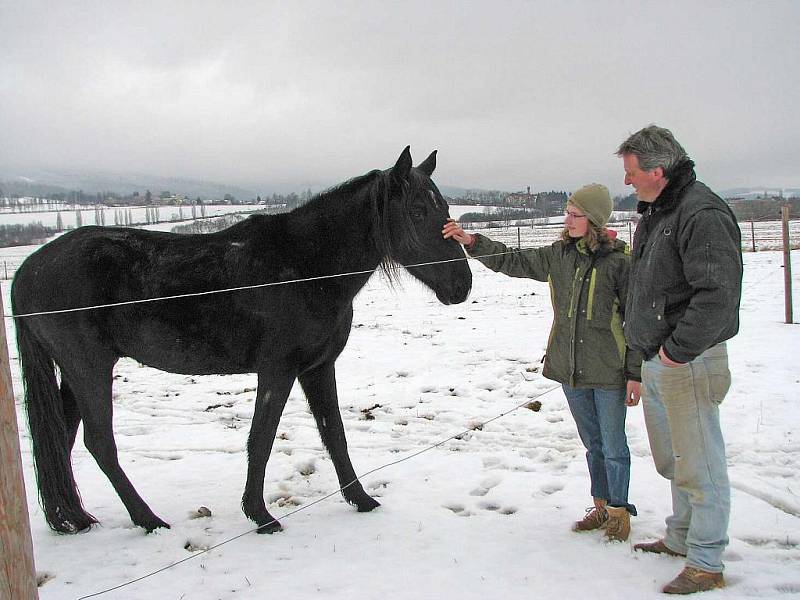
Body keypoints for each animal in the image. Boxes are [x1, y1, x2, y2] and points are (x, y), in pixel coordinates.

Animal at [10, 148, 468, 532]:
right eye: (417, 210)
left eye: (445, 207)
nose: (462, 285)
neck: (307, 268)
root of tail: (30, 268)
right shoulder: (277, 370)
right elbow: (261, 439)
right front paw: (260, 515)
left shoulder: (318, 368)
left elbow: (334, 433)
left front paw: (361, 499)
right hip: (88, 368)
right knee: (99, 443)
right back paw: (148, 520)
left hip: (74, 373)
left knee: (62, 439)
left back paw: (73, 518)